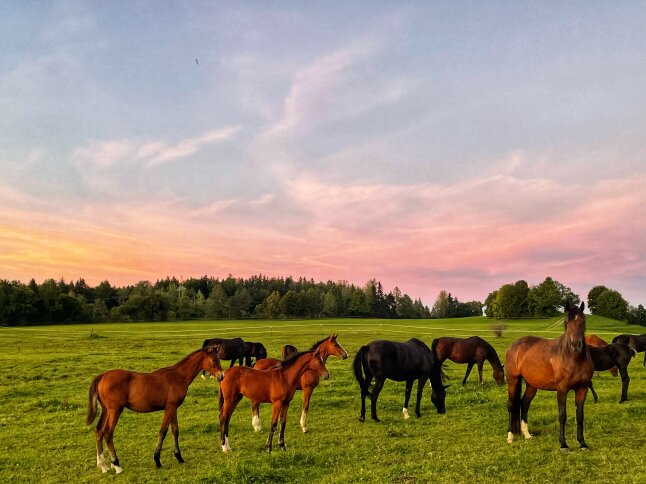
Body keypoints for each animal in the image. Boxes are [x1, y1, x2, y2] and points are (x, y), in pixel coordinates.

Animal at [86, 344, 225, 472]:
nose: (221, 376)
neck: (178, 376)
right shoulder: (170, 408)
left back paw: (103, 465)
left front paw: (179, 457)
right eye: (214, 360)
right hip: (115, 410)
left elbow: (175, 430)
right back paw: (116, 465)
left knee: (98, 431)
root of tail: (102, 376)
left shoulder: (173, 408)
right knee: (108, 433)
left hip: (106, 410)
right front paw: (157, 460)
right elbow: (163, 431)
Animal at [506, 300, 596, 452]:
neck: (573, 358)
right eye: (566, 322)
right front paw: (563, 444)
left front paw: (582, 443)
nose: (576, 345)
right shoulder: (562, 389)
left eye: (583, 321)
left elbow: (580, 416)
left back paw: (527, 434)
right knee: (512, 405)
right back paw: (510, 437)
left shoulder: (582, 389)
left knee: (524, 403)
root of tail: (514, 345)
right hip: (513, 380)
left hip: (531, 385)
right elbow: (562, 416)